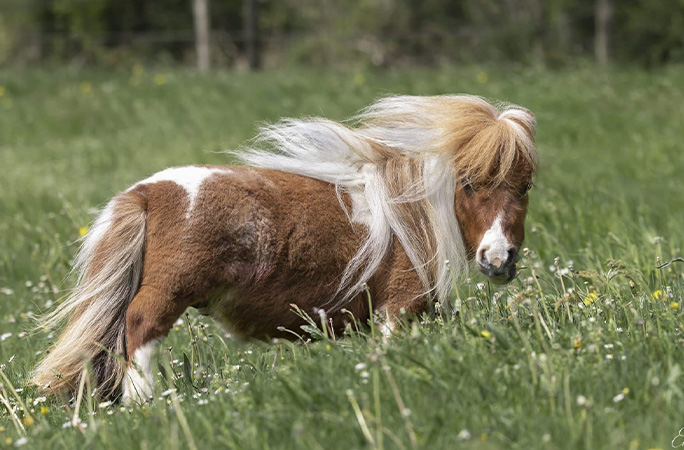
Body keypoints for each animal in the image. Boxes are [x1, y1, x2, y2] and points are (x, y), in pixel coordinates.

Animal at [32, 95, 537, 403]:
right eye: (468, 182)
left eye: (526, 186)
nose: (499, 259)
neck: (408, 216)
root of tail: (146, 193)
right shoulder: (397, 309)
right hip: (165, 295)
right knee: (139, 331)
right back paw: (147, 405)